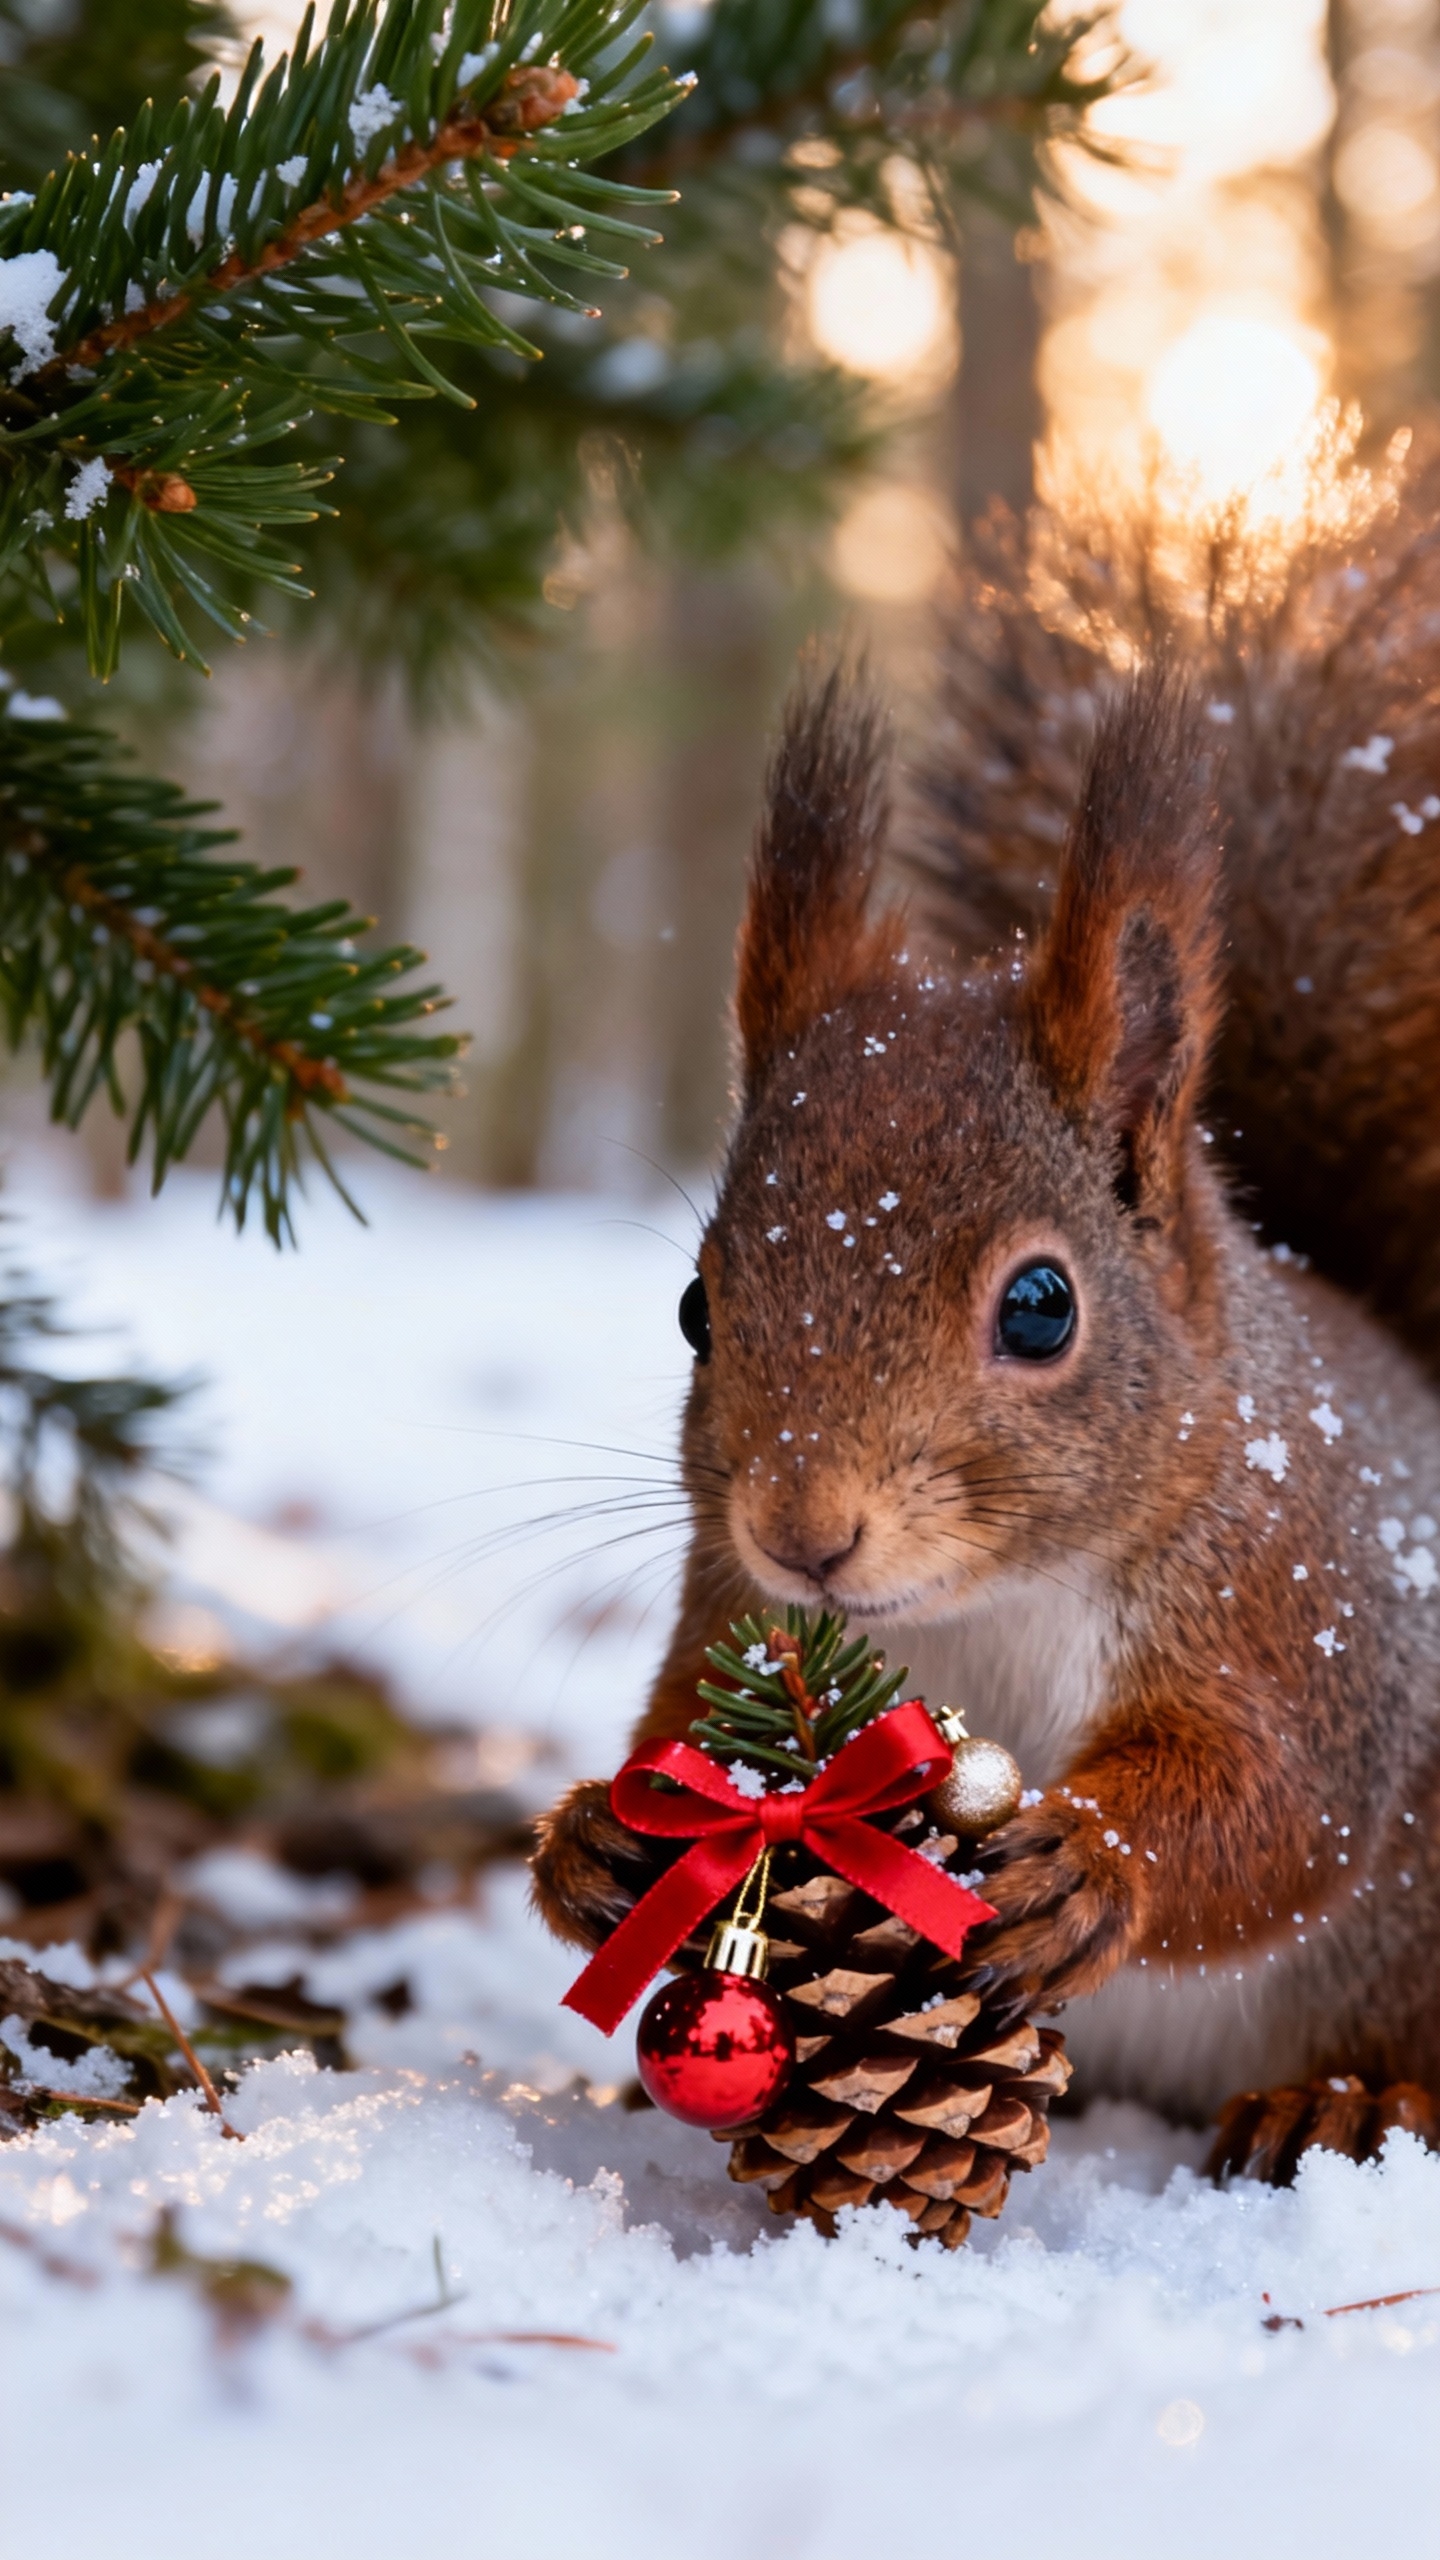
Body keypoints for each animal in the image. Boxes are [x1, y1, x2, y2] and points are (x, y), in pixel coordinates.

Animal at [532, 455, 1440, 2184]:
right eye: (694, 1304)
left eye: (1040, 1305)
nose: (805, 1532)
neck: (989, 1607)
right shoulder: (727, 1604)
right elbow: (682, 1720)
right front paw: (599, 1829)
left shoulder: (1303, 1610)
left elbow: (1280, 1803)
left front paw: (1089, 1859)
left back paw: (1352, 2097)